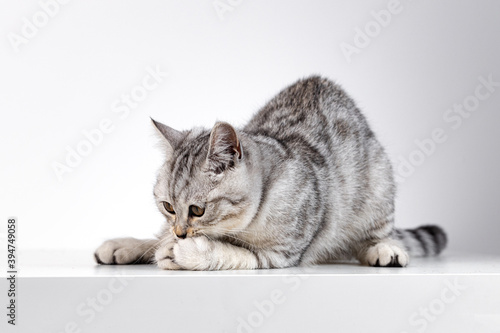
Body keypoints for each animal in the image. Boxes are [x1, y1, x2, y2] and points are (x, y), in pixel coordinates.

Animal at [95, 76, 448, 270]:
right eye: (168, 206)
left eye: (197, 210)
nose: (181, 233)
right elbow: (158, 236)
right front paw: (139, 244)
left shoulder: (279, 255)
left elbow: (231, 253)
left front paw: (188, 252)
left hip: (378, 188)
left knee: (379, 234)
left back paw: (386, 249)